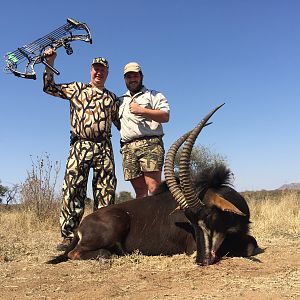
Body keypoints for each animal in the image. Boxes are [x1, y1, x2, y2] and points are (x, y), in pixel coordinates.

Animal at [47, 105, 258, 264]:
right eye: (191, 222)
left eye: (209, 216)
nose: (201, 260)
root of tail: (81, 226)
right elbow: (248, 246)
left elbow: (252, 243)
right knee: (75, 253)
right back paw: (106, 256)